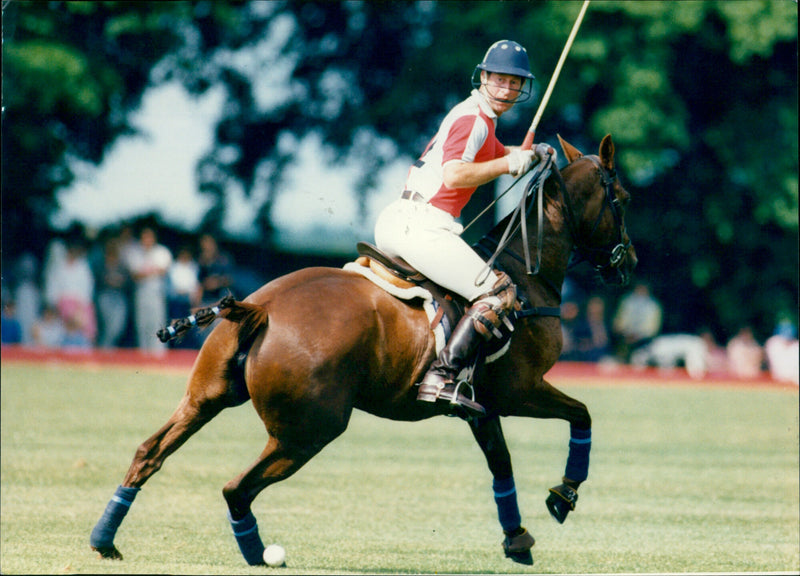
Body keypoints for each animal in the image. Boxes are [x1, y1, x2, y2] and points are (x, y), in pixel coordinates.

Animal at [89, 134, 636, 568]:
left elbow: (500, 464)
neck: (527, 274)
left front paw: (517, 540)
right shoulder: (520, 390)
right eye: (623, 199)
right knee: (235, 487)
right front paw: (563, 496)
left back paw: (105, 540)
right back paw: (258, 554)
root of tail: (259, 308)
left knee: (150, 452)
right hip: (310, 429)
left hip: (208, 395)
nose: (628, 262)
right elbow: (582, 414)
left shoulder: (480, 407)